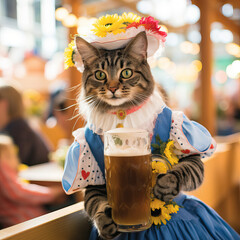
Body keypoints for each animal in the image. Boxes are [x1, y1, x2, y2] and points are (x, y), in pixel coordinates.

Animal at [75, 31, 204, 238]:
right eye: (100, 75)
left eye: (126, 72)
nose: (112, 88)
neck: (122, 114)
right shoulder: (94, 180)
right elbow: (95, 203)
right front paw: (105, 221)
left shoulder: (190, 150)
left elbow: (184, 169)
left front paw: (166, 183)